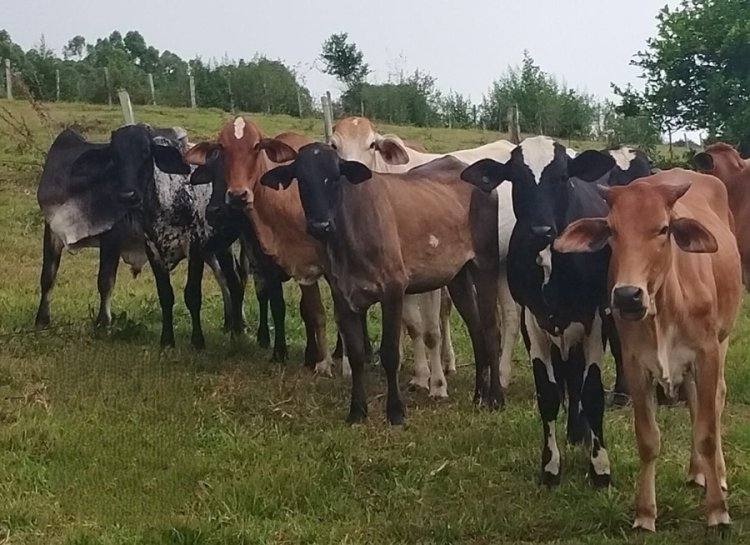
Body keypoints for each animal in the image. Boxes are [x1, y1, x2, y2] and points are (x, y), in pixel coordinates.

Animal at [184, 118, 336, 372]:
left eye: (256, 146)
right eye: (221, 147)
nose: (236, 196)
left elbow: (307, 310)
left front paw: (311, 355)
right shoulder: (267, 263)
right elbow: (276, 304)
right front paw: (279, 352)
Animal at [262, 144, 502, 424]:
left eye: (334, 177)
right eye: (301, 179)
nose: (320, 225)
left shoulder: (394, 289)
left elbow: (390, 353)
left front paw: (395, 411)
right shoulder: (342, 296)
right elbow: (356, 355)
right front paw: (357, 410)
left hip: (486, 264)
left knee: (491, 330)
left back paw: (496, 398)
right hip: (458, 276)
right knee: (476, 330)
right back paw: (478, 395)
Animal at [464, 136, 624, 484]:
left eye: (562, 177)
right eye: (515, 178)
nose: (539, 230)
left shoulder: (594, 318)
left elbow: (592, 392)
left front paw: (600, 467)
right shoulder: (533, 319)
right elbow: (549, 394)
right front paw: (551, 466)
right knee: (570, 379)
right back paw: (576, 432)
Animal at [556, 168, 744, 528]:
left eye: (663, 228)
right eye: (612, 229)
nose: (628, 295)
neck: (665, 305)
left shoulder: (707, 353)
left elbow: (708, 433)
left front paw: (717, 510)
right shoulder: (634, 363)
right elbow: (647, 438)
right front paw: (645, 513)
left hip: (723, 339)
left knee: (715, 401)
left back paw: (718, 474)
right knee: (695, 404)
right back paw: (697, 472)